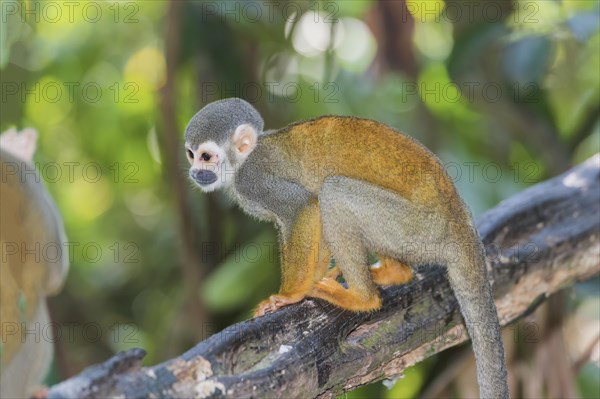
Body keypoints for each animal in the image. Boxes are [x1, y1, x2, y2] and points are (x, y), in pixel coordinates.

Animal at [185, 98, 508, 398]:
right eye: (191, 155)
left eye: (206, 156)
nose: (194, 172)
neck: (243, 160)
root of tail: (460, 222)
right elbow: (314, 216)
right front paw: (311, 281)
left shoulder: (254, 180)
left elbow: (304, 206)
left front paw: (291, 295)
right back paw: (394, 273)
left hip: (418, 227)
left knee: (334, 191)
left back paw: (362, 298)